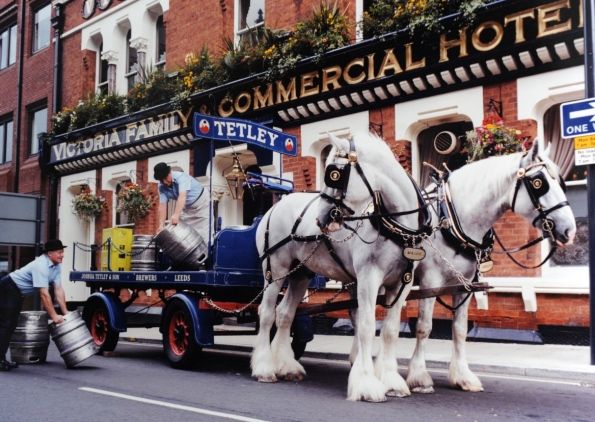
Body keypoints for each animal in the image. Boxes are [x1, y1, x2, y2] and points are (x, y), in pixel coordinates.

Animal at [250, 133, 428, 402]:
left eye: (335, 174)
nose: (320, 218)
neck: (395, 226)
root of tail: (274, 207)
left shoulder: (401, 284)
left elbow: (390, 330)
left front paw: (391, 381)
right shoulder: (367, 279)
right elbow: (366, 326)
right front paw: (366, 384)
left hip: (300, 274)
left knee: (285, 314)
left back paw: (287, 366)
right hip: (276, 270)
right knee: (267, 312)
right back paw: (264, 368)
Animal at [402, 141, 576, 392]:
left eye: (561, 181)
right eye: (538, 182)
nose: (570, 231)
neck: (449, 219)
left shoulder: (464, 284)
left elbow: (460, 329)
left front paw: (462, 376)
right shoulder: (430, 281)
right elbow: (424, 326)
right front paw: (418, 376)